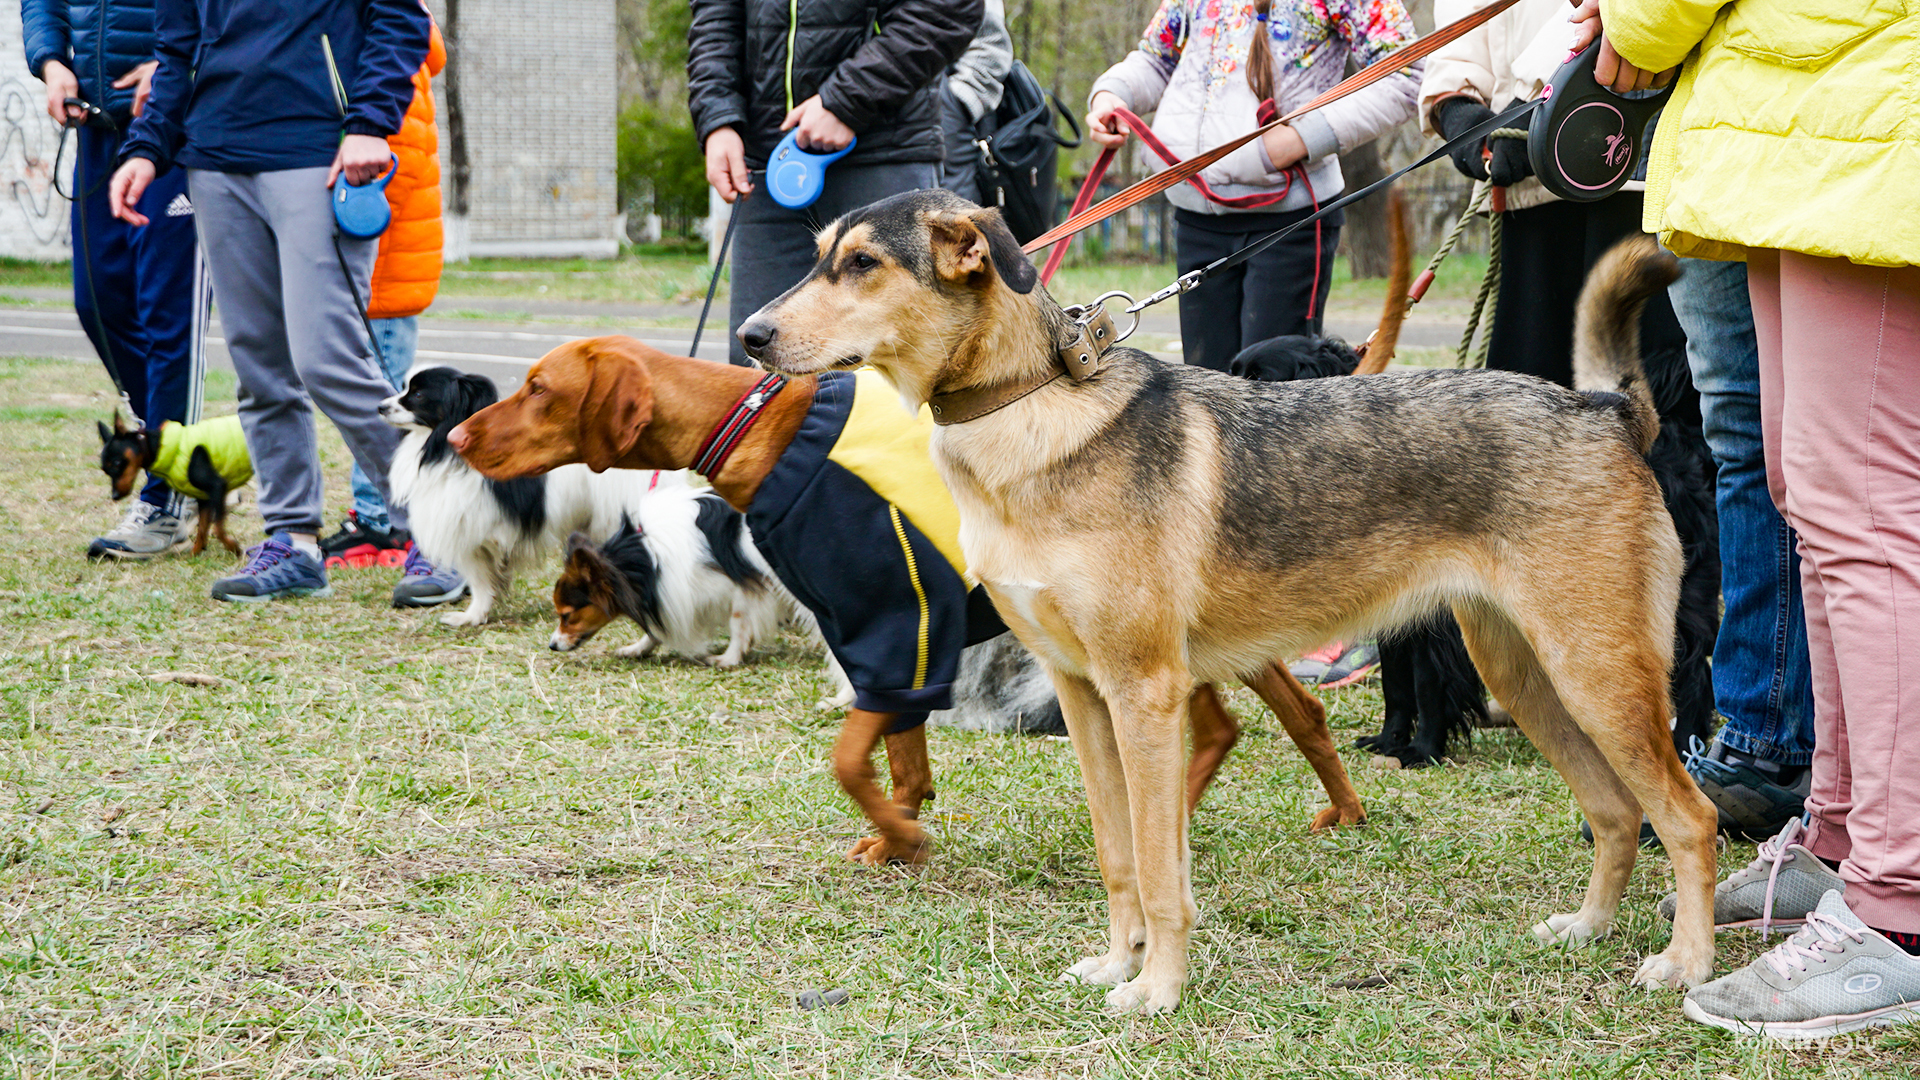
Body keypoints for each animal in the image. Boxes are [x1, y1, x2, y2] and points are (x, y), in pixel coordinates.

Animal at [1228, 328, 1728, 764]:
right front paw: (1391, 740)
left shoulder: (1435, 620)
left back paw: (1685, 740)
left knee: (1694, 670)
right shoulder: (1395, 619)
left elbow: (1426, 687)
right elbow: (1396, 687)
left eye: (1260, 379)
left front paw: (1423, 750)